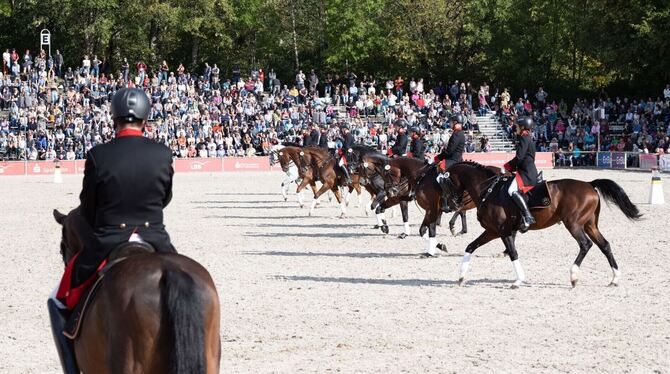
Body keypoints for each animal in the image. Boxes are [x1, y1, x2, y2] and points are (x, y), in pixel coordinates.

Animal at [444, 162, 644, 288]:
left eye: (445, 183)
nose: (448, 206)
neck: (489, 191)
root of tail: (589, 184)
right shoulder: (492, 231)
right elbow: (470, 247)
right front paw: (461, 277)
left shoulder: (502, 231)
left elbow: (513, 253)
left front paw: (518, 280)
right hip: (589, 225)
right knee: (605, 245)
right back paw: (615, 279)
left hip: (573, 224)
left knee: (585, 245)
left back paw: (573, 276)